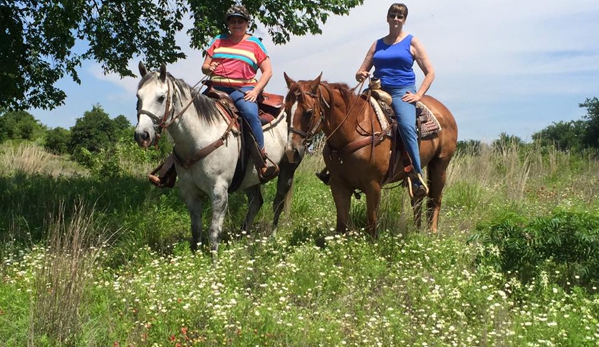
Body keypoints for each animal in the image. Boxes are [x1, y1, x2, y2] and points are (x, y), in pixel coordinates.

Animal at [135, 63, 296, 253]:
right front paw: (197, 255)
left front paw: (214, 260)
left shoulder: (219, 192)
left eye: (161, 98)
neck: (199, 137)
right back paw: (241, 238)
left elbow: (213, 231)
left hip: (287, 170)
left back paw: (272, 238)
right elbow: (196, 229)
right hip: (250, 177)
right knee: (256, 202)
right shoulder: (189, 192)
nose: (142, 135)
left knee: (278, 203)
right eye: (138, 96)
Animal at [286, 73, 460, 237]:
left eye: (309, 112)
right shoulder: (338, 185)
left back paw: (432, 233)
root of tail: (444, 110)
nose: (291, 150)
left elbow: (372, 224)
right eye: (286, 110)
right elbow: (342, 225)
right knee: (417, 198)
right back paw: (417, 231)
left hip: (440, 164)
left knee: (435, 198)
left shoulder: (373, 185)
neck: (352, 131)